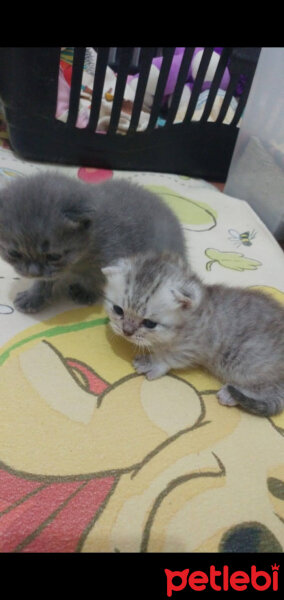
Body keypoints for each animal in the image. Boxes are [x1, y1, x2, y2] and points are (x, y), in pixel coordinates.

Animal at [0, 172, 186, 314]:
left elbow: (97, 278)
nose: (32, 272)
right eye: (14, 253)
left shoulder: (113, 258)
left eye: (54, 256)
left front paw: (86, 292)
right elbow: (45, 280)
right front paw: (33, 297)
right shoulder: (54, 271)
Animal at [103, 251, 284, 414]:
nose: (126, 331)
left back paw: (231, 394)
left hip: (243, 361)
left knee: (271, 390)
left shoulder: (192, 348)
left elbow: (167, 357)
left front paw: (153, 362)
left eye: (149, 323)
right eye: (118, 310)